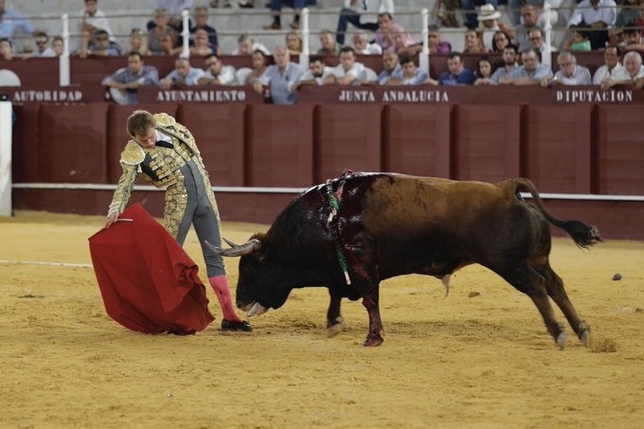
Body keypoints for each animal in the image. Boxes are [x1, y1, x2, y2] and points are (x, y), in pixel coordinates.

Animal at [210, 171, 600, 348]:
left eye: (251, 267)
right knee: (556, 285)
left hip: (510, 264)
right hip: (537, 258)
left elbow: (369, 300)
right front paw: (334, 323)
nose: (240, 301)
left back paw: (560, 333)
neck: (326, 217)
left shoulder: (362, 265)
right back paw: (581, 331)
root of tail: (506, 189)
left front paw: (373, 337)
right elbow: (336, 292)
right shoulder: (341, 268)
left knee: (536, 288)